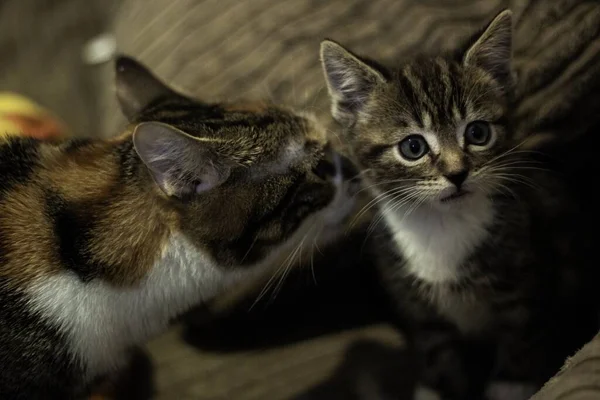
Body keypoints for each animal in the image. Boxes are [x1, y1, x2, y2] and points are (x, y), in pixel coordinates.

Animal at [318, 8, 596, 400]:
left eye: (478, 133)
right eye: (413, 147)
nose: (457, 173)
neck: (442, 225)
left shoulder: (528, 286)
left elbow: (520, 345)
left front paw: (509, 387)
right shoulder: (420, 311)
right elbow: (438, 358)